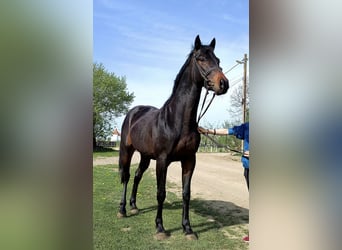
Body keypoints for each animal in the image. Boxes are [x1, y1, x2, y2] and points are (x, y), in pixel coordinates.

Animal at [118, 35, 230, 238]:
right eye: (201, 59)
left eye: (218, 60)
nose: (223, 84)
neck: (177, 121)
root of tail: (134, 112)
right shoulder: (163, 161)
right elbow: (161, 193)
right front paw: (160, 228)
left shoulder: (189, 160)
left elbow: (186, 193)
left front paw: (188, 229)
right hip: (127, 150)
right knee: (127, 176)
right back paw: (122, 209)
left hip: (145, 156)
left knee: (137, 176)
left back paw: (134, 206)